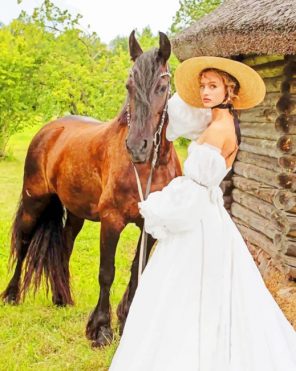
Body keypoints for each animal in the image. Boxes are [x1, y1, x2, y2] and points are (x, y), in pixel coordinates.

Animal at [1, 32, 182, 348]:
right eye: (129, 85)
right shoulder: (111, 221)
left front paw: (125, 320)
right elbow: (107, 273)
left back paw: (61, 297)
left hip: (75, 213)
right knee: (23, 242)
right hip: (34, 202)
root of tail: (49, 129)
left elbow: (136, 271)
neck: (150, 168)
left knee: (64, 246)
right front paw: (100, 329)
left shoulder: (151, 225)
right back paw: (12, 295)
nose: (137, 147)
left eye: (162, 86)